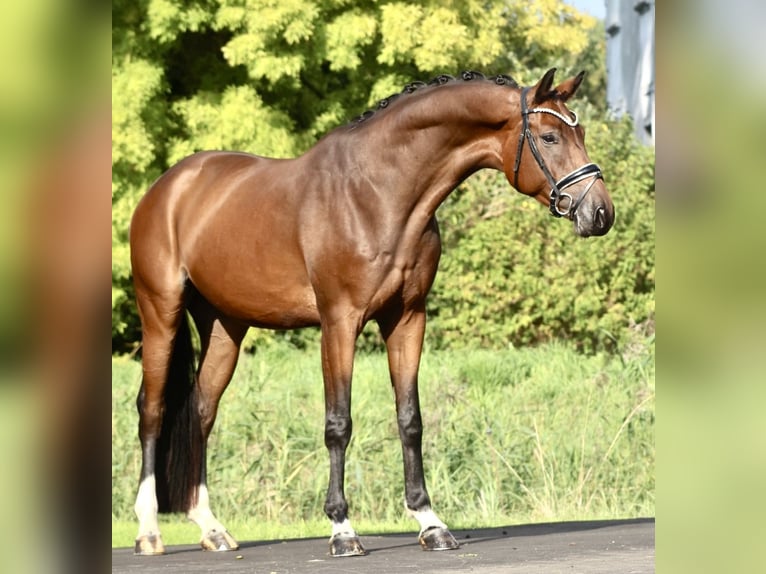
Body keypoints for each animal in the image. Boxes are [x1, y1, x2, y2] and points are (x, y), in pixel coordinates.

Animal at [129, 68, 616, 560]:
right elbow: (338, 423)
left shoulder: (407, 319)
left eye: (581, 133)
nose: (601, 213)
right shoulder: (339, 323)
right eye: (550, 136)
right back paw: (149, 531)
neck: (377, 193)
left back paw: (211, 529)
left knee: (202, 411)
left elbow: (410, 419)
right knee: (152, 410)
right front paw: (342, 529)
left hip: (225, 326)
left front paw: (430, 523)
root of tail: (167, 187)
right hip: (160, 312)